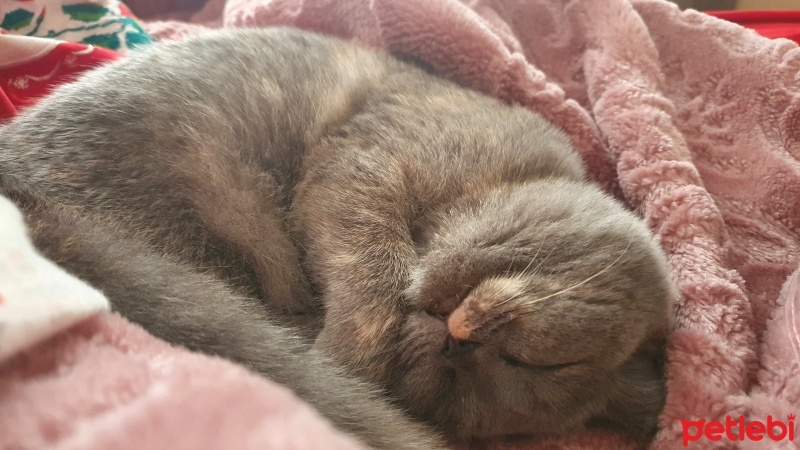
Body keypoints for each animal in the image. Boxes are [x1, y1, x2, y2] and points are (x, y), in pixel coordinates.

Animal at [0, 29, 676, 450]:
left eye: (456, 384)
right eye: (540, 359)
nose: (458, 335)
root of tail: (25, 199)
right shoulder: (362, 165)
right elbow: (375, 278)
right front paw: (338, 365)